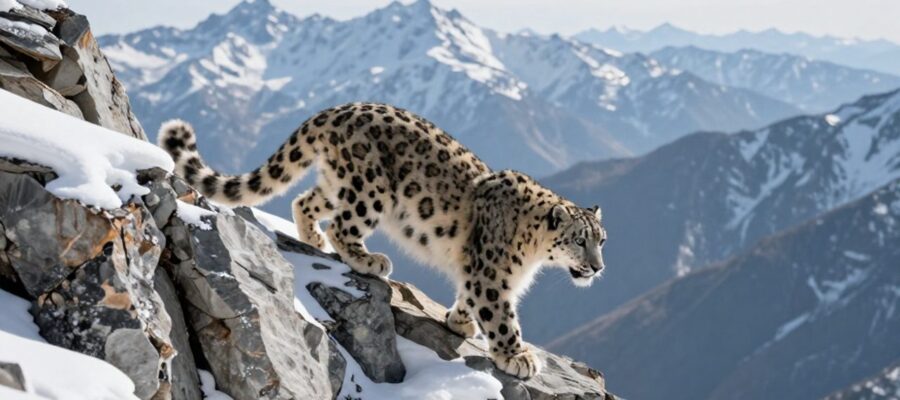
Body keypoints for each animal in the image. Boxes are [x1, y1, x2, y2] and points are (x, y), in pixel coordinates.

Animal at [158, 102, 608, 379]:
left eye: (602, 239)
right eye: (579, 240)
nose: (598, 267)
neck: (532, 254)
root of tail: (339, 108)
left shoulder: (478, 272)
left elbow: (468, 295)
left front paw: (459, 321)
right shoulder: (492, 276)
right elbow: (501, 316)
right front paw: (517, 356)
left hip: (338, 181)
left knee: (306, 199)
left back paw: (313, 239)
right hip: (370, 190)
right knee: (343, 224)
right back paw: (368, 259)